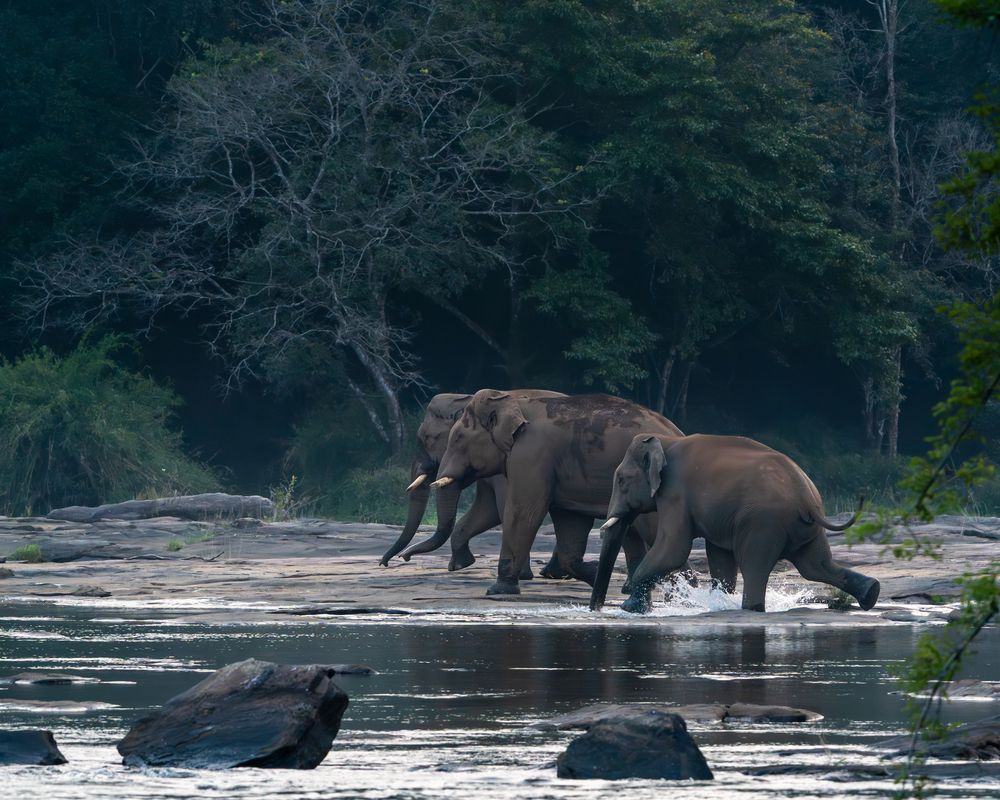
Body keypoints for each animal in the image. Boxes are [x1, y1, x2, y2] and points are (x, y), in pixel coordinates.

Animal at [379, 391, 567, 580]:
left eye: (427, 439)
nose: (400, 558)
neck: (464, 399)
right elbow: (488, 509)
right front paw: (459, 565)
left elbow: (505, 508)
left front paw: (522, 575)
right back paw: (552, 573)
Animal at [425, 390, 687, 596]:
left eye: (458, 438)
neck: (511, 400)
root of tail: (680, 433)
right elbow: (570, 520)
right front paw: (594, 573)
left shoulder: (531, 453)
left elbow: (522, 511)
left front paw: (497, 591)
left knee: (655, 531)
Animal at [589, 433, 880, 614]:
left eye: (621, 480)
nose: (596, 609)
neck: (667, 442)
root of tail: (807, 498)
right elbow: (719, 554)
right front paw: (720, 603)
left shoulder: (675, 493)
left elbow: (674, 548)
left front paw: (629, 607)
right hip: (804, 528)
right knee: (815, 566)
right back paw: (871, 593)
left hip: (764, 523)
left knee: (755, 565)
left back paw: (751, 608)